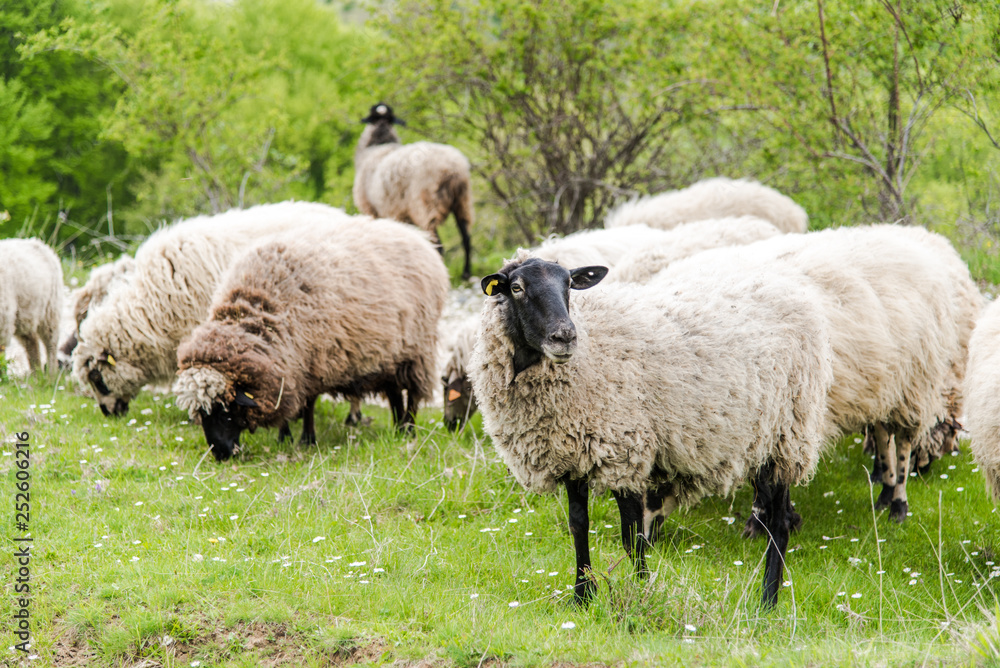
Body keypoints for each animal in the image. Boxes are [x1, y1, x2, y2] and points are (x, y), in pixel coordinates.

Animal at [0, 238, 63, 376]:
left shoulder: (3, 323)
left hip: (50, 310)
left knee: (51, 342)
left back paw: (51, 374)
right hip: (26, 315)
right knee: (32, 342)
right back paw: (37, 374)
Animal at [173, 217, 449, 461]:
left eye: (227, 409)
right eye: (200, 414)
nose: (220, 454)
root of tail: (416, 236)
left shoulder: (312, 363)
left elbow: (307, 405)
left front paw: (306, 439)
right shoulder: (289, 366)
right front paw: (284, 437)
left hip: (417, 351)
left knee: (412, 395)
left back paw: (409, 430)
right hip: (390, 357)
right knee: (394, 394)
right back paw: (398, 429)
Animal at [354, 102, 475, 279]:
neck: (377, 146)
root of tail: (452, 169)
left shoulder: (371, 211)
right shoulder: (402, 216)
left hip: (427, 206)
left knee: (439, 246)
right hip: (462, 202)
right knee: (466, 238)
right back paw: (466, 273)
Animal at [468, 250, 835, 609]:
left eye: (569, 285)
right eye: (516, 288)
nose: (565, 337)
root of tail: (795, 291)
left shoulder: (624, 450)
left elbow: (632, 536)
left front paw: (642, 591)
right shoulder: (572, 455)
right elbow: (578, 525)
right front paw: (582, 596)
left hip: (788, 433)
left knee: (779, 524)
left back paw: (767, 602)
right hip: (759, 439)